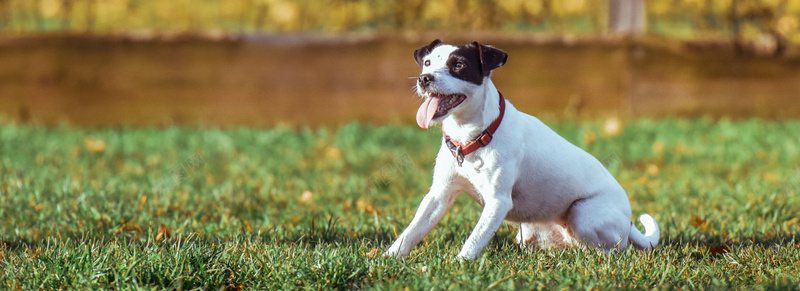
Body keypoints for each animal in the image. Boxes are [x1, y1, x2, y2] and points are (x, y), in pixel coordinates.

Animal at [384, 40, 660, 262]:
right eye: (427, 63)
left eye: (459, 64)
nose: (425, 78)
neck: (473, 137)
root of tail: (629, 223)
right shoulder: (439, 195)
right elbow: (412, 231)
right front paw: (388, 258)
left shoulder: (498, 201)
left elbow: (475, 238)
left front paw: (459, 264)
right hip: (530, 230)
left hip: (582, 214)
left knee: (608, 250)